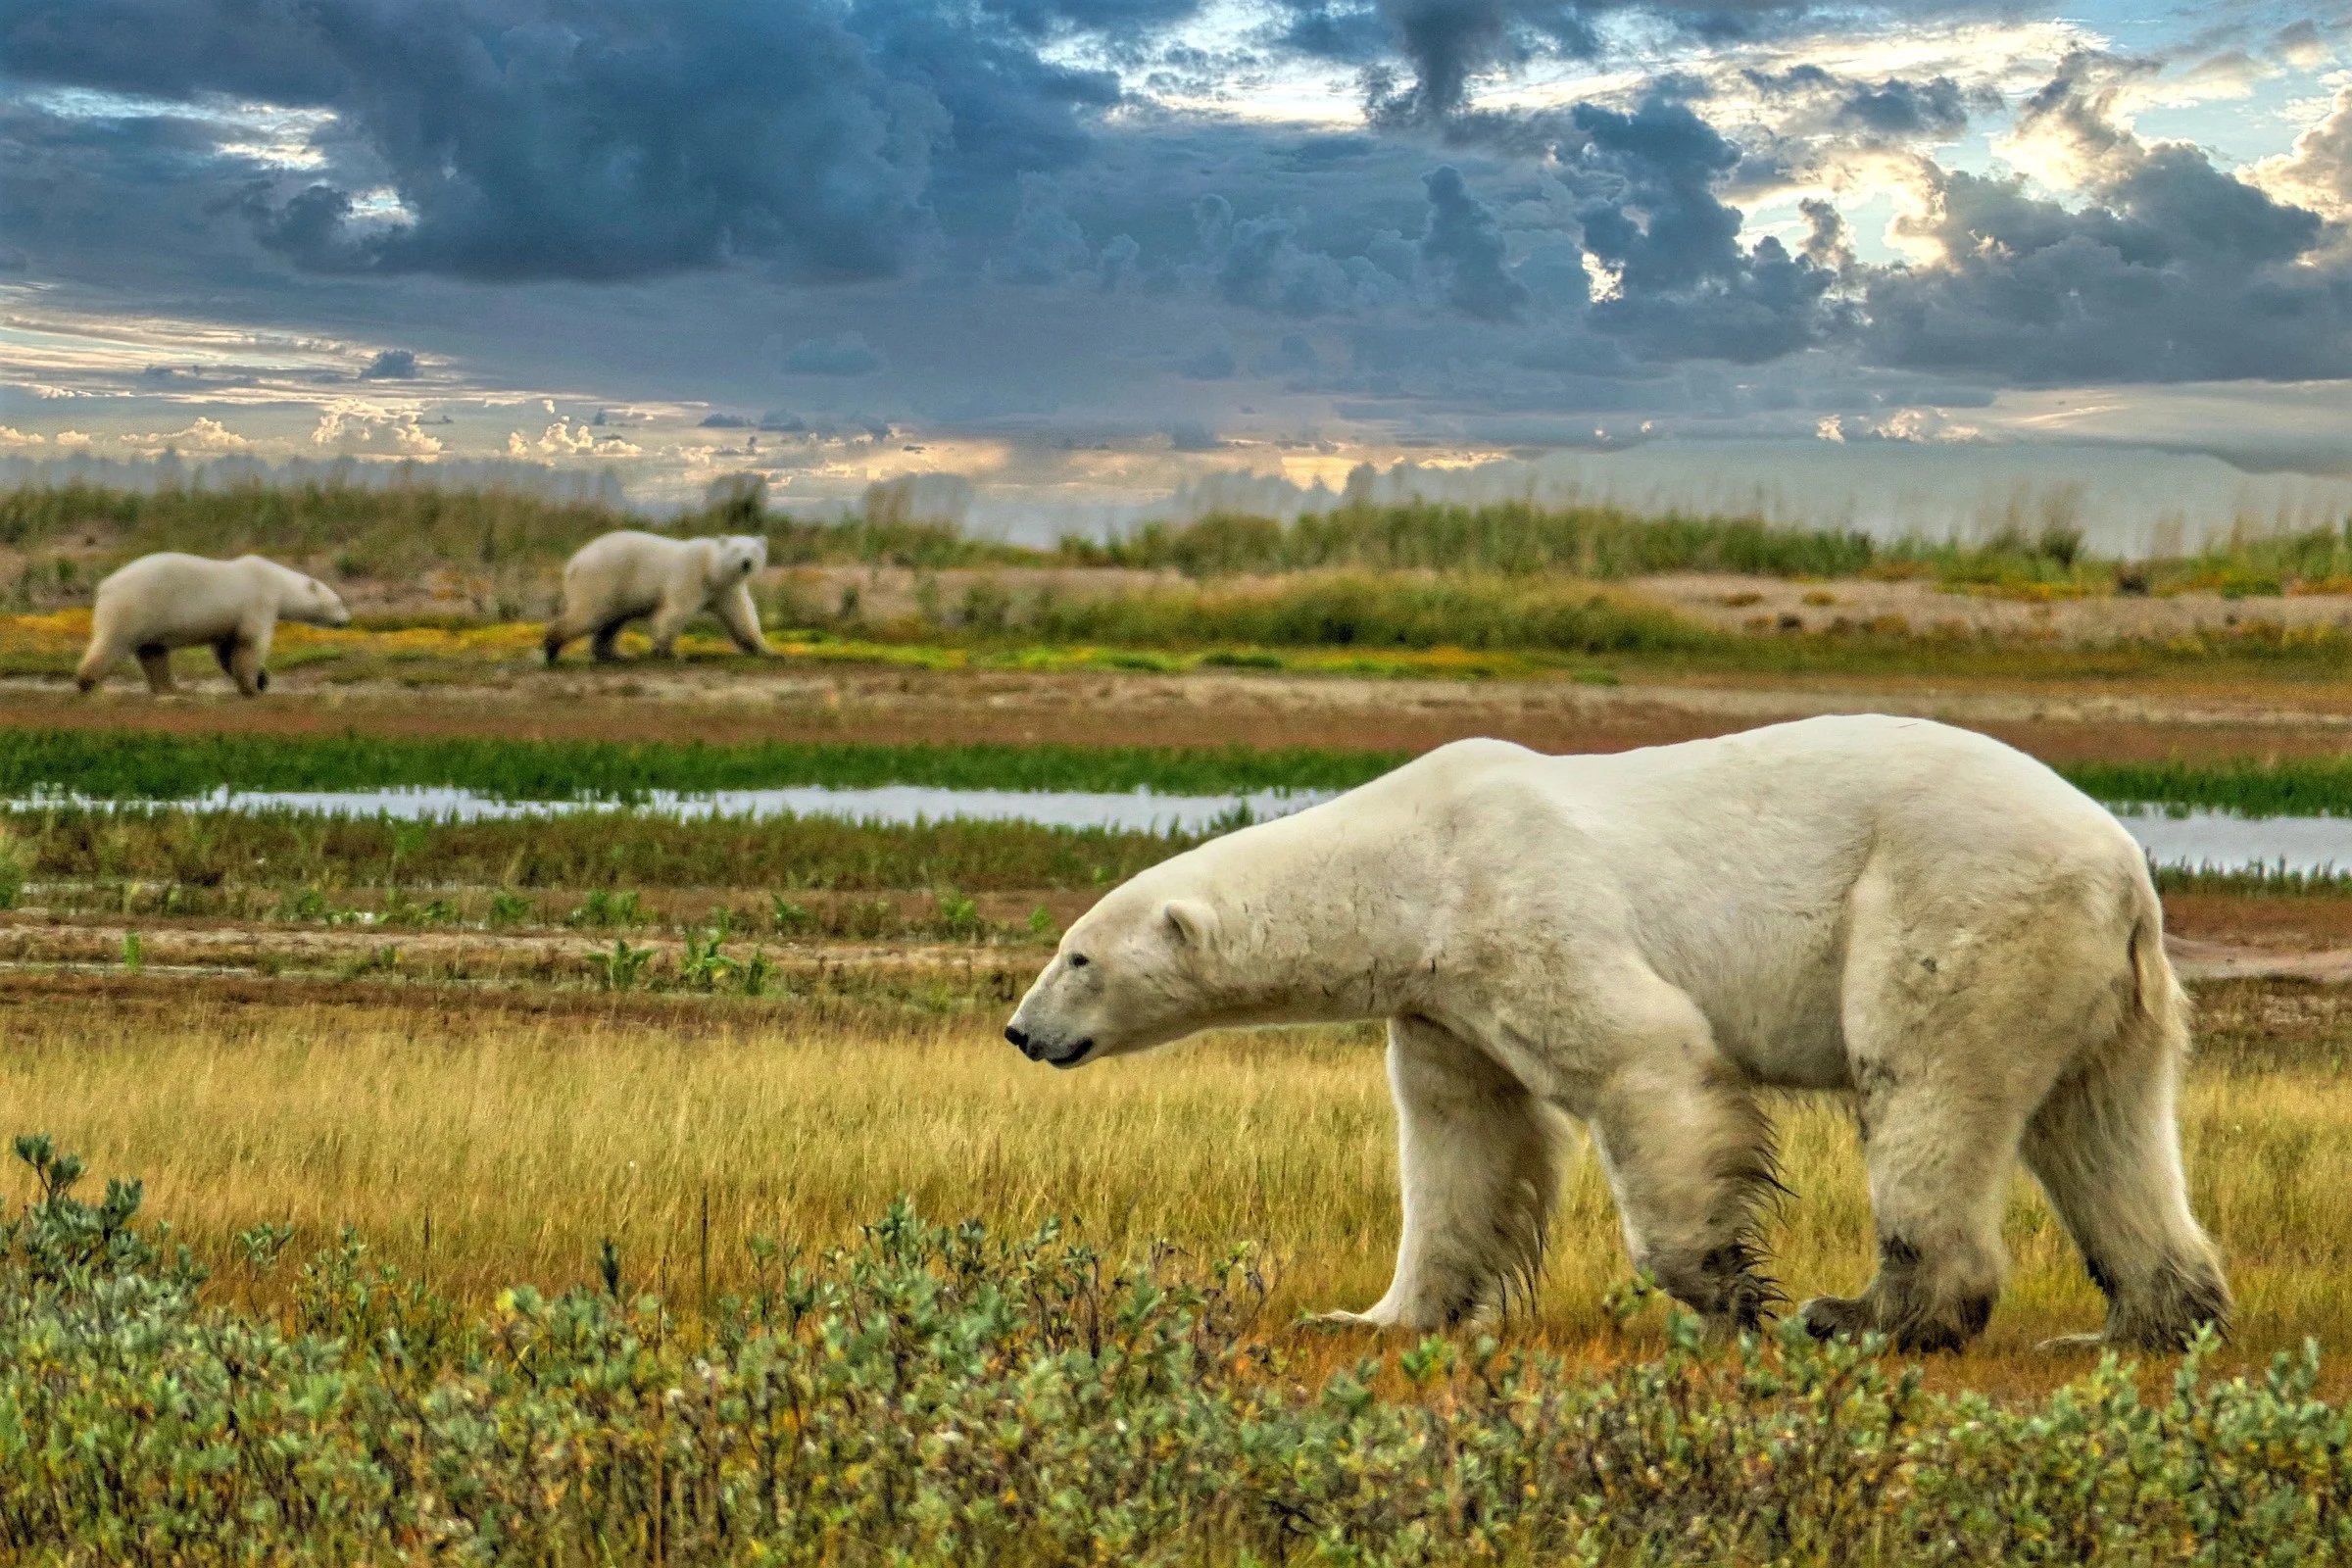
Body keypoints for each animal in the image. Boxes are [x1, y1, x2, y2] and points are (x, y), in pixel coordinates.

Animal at [76, 552, 351, 696]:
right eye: (339, 601)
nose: (347, 621)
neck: (278, 583)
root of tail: (105, 585)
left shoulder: (230, 620)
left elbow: (227, 650)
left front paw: (259, 680)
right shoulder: (259, 601)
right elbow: (249, 643)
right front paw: (253, 686)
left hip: (152, 618)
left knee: (153, 651)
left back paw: (171, 688)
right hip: (137, 605)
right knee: (114, 642)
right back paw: (87, 682)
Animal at [542, 531, 770, 664]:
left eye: (754, 549)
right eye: (736, 550)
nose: (746, 562)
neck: (710, 569)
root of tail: (574, 563)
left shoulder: (726, 590)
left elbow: (742, 617)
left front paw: (764, 650)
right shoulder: (690, 576)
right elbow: (674, 612)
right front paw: (671, 653)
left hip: (615, 592)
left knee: (611, 622)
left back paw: (616, 655)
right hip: (603, 579)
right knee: (588, 614)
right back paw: (552, 648)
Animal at [1004, 715, 2231, 1354]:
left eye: (1077, 956)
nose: (1020, 1031)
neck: (1411, 865)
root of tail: (2122, 862)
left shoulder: (1522, 898)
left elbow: (1643, 1061)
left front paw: (1731, 1288)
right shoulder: (1443, 995)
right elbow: (1459, 1145)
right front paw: (1371, 1313)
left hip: (1954, 909)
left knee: (1924, 1088)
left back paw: (1869, 1314)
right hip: (2097, 983)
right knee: (2103, 1127)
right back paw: (2144, 1321)